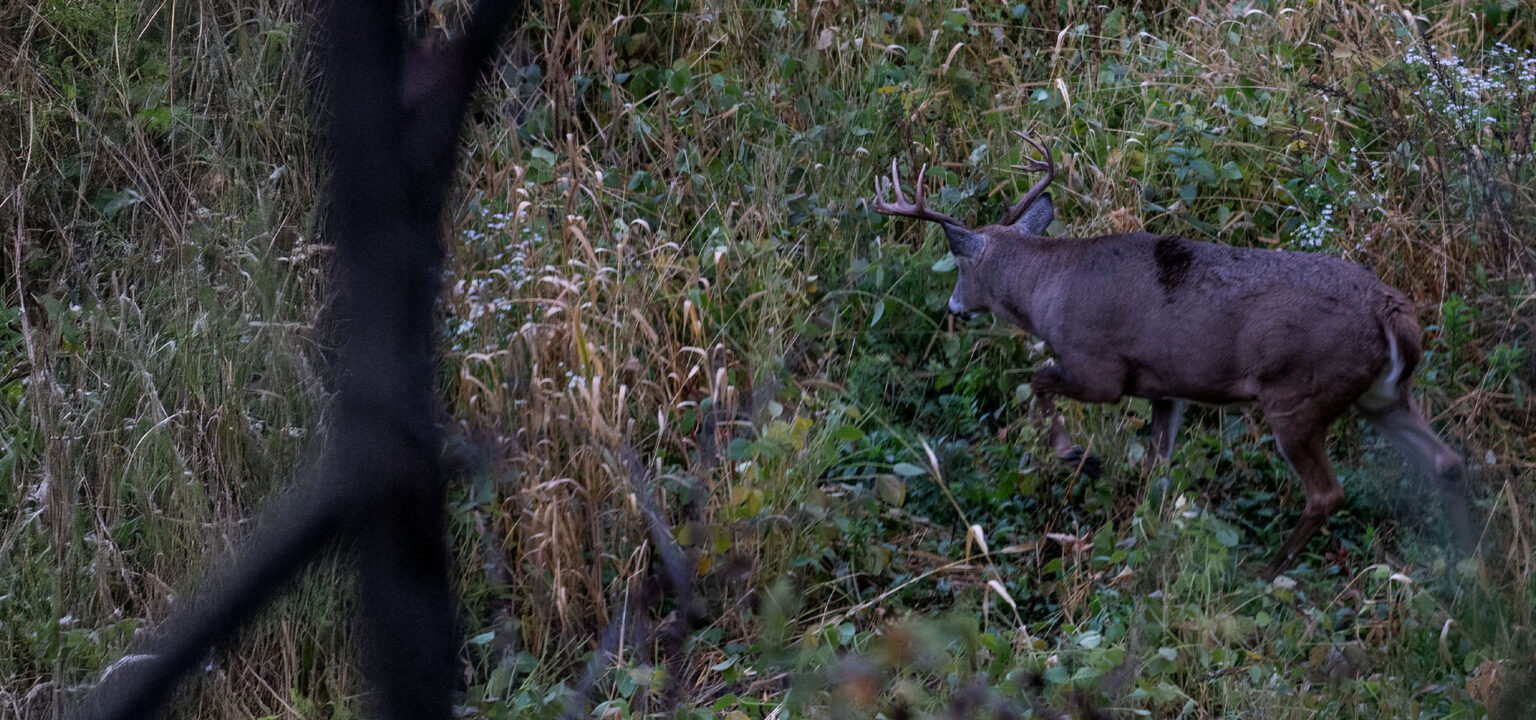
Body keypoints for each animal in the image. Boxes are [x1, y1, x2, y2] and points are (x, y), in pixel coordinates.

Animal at [871, 130, 1475, 579]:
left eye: (961, 266)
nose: (953, 307)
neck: (1048, 289)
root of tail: (1392, 311)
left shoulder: (1099, 367)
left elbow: (1040, 380)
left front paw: (1075, 455)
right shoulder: (1167, 387)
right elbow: (1157, 469)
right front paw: (1141, 530)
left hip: (1298, 394)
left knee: (1328, 492)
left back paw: (1266, 568)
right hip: (1383, 394)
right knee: (1447, 461)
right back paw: (1467, 567)